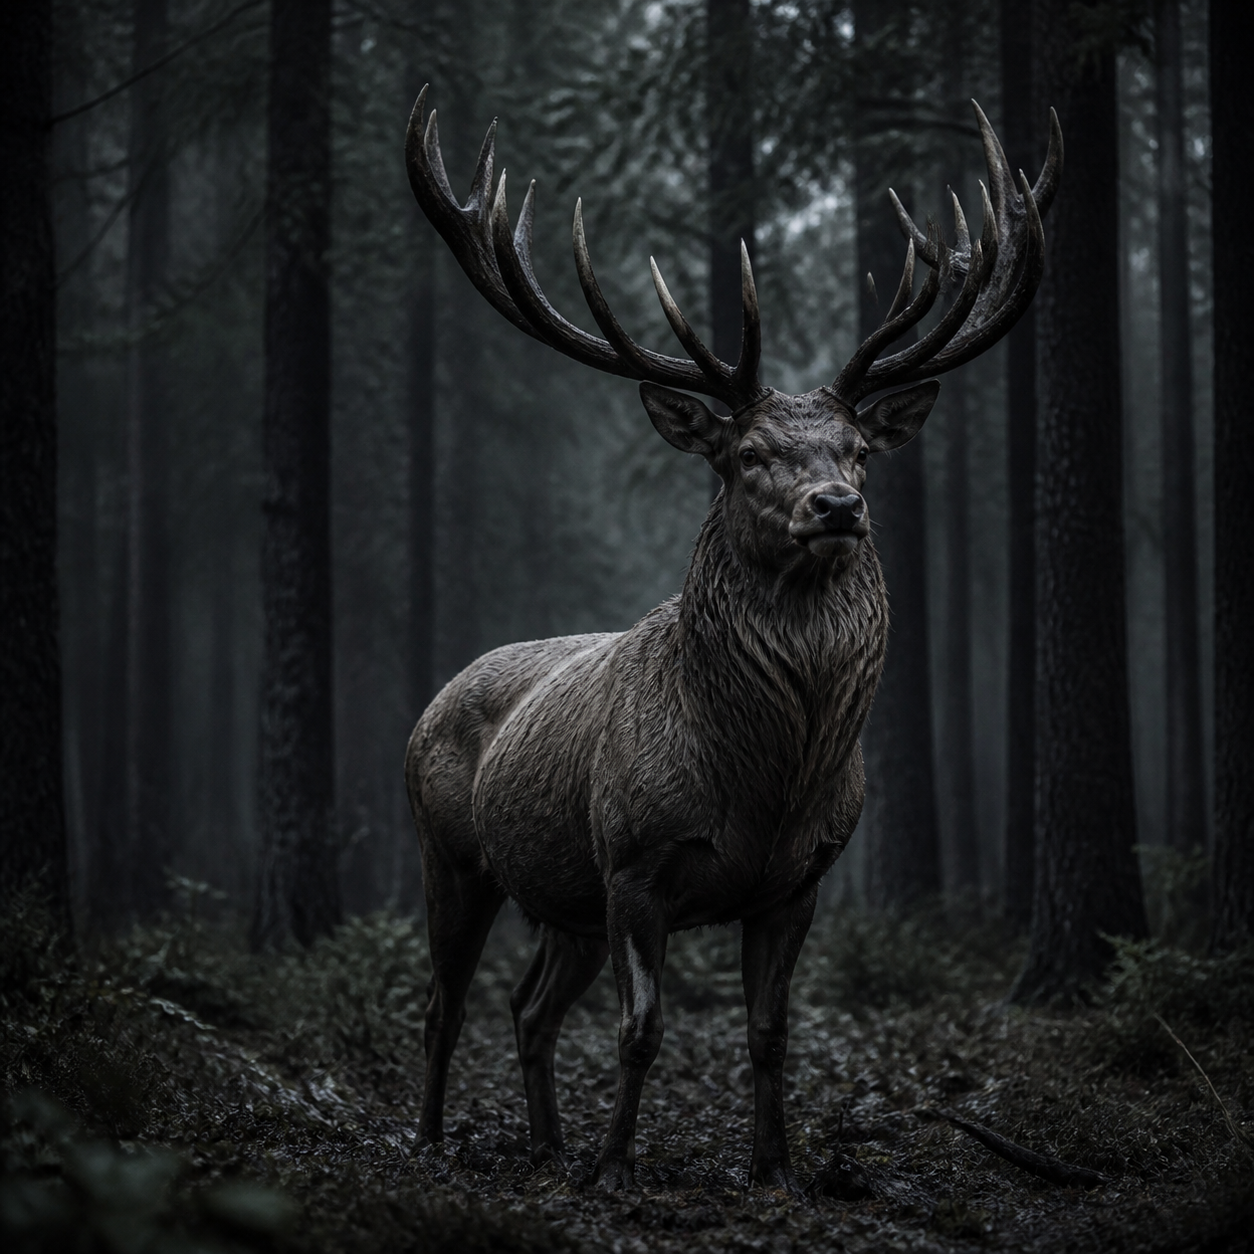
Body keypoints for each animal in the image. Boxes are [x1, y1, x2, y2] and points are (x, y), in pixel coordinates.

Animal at [403, 87, 1061, 1193]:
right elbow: (642, 1030)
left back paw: (544, 1148)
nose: (837, 505)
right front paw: (615, 1170)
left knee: (529, 1010)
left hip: (562, 899)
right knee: (444, 1005)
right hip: (452, 854)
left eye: (857, 451)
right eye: (748, 454)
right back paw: (431, 1142)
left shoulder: (798, 882)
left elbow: (769, 1034)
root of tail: (431, 703)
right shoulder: (633, 860)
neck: (765, 783)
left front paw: (775, 1170)